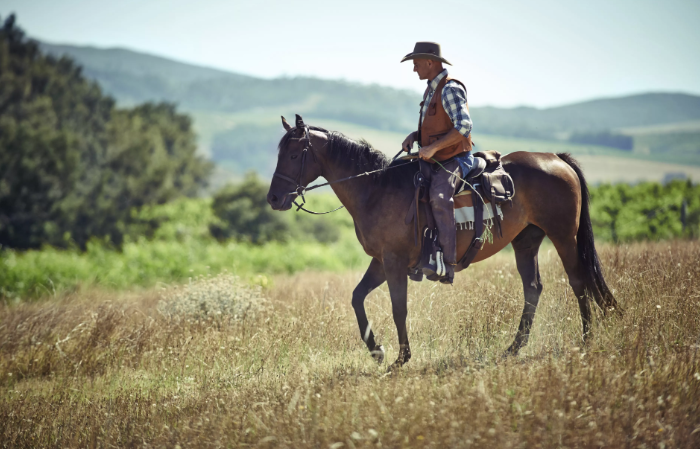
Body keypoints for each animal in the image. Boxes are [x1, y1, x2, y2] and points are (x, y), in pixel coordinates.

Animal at [266, 114, 616, 368]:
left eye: (294, 154)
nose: (273, 198)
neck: (377, 189)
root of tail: (556, 158)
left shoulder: (393, 262)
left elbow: (398, 308)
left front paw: (400, 359)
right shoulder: (381, 261)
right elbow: (357, 298)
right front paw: (377, 351)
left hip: (563, 236)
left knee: (578, 281)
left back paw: (586, 340)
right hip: (526, 242)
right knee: (533, 289)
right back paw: (513, 349)